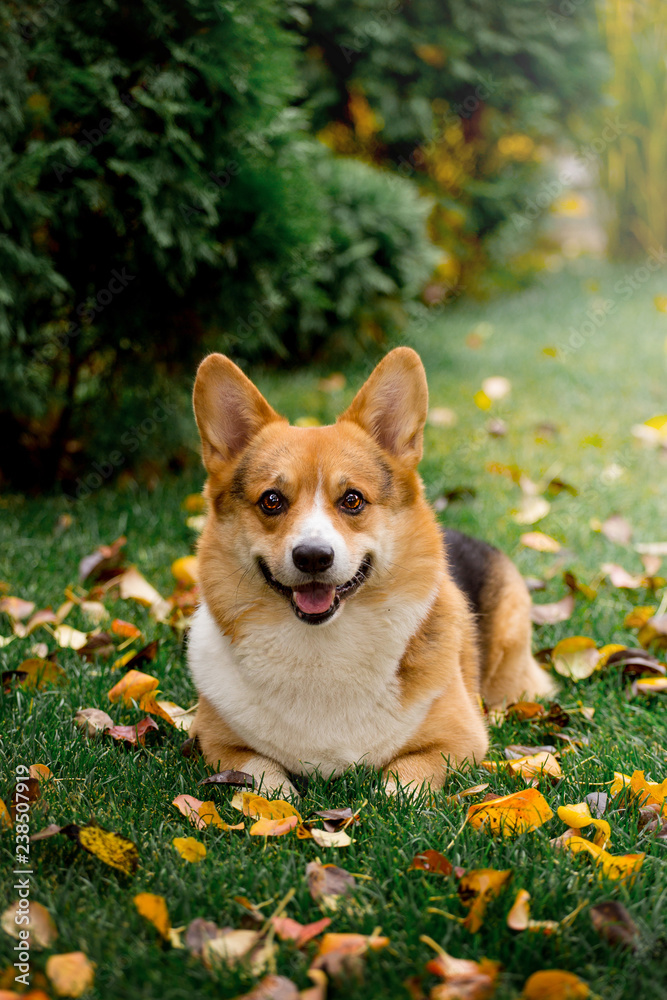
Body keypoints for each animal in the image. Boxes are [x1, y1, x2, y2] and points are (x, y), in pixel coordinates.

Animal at [187, 350, 552, 796]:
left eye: (352, 500)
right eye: (271, 500)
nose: (313, 557)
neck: (322, 650)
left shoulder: (458, 742)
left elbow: (404, 781)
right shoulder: (217, 742)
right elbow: (264, 779)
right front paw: (280, 803)